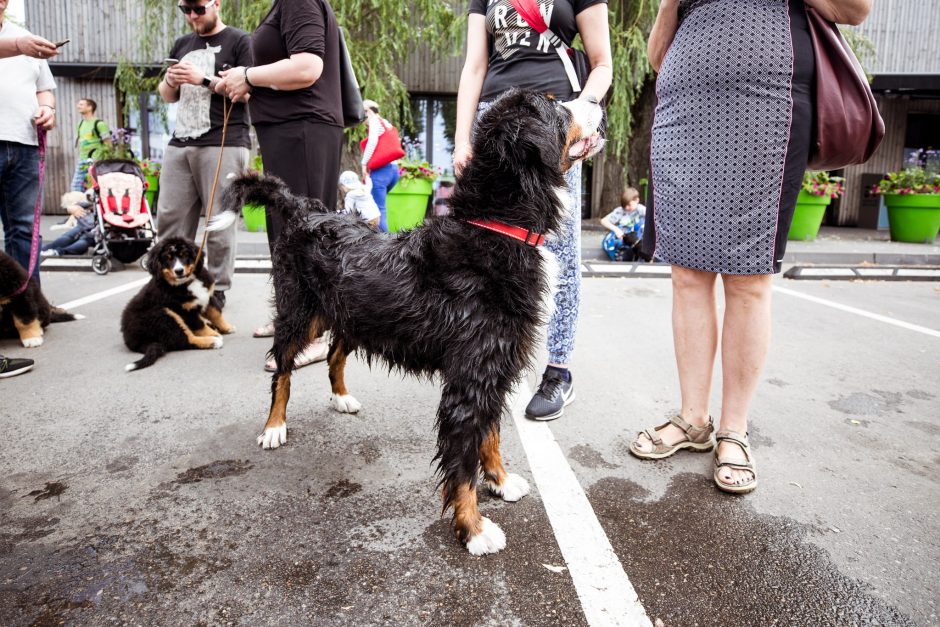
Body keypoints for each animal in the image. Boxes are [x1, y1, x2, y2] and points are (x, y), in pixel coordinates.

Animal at [122, 238, 234, 370]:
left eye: (184, 255)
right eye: (168, 258)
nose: (179, 271)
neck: (187, 282)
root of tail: (132, 341)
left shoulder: (208, 297)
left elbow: (216, 313)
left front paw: (226, 327)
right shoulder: (183, 310)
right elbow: (199, 324)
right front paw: (213, 334)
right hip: (162, 316)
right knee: (183, 340)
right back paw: (213, 341)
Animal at [207, 89, 604, 556]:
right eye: (556, 105)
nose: (596, 99)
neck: (497, 226)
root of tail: (308, 210)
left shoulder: (493, 368)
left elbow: (490, 436)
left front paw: (501, 481)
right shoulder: (471, 380)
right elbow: (463, 463)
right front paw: (473, 528)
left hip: (352, 315)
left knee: (335, 355)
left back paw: (342, 397)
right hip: (300, 313)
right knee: (283, 370)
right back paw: (274, 427)